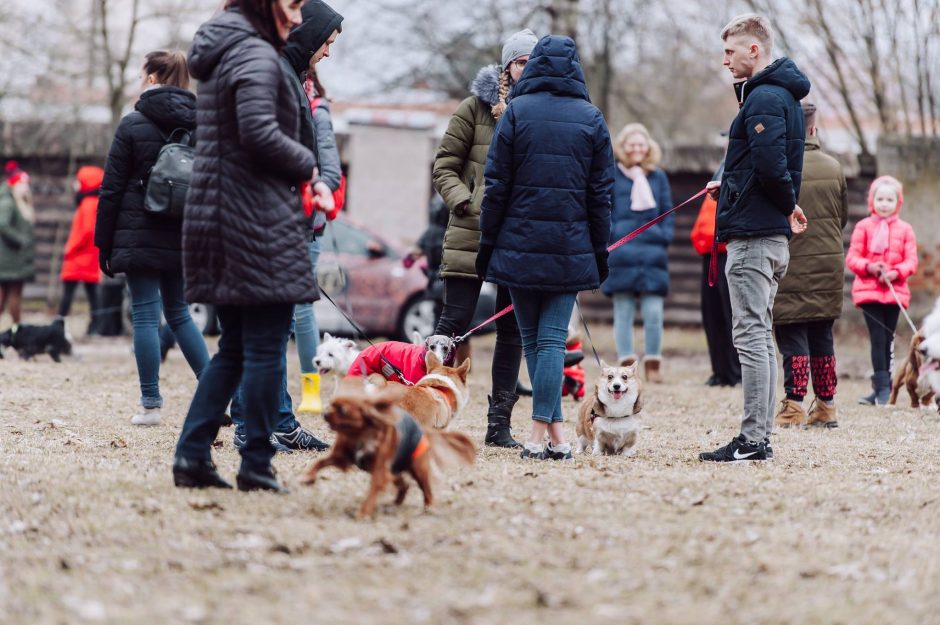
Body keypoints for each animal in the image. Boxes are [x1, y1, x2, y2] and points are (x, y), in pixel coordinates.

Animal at [302, 382, 478, 520]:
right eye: (331, 404)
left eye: (342, 409)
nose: (325, 414)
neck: (361, 434)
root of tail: (421, 429)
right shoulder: (341, 456)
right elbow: (320, 462)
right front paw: (308, 478)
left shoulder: (380, 469)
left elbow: (374, 489)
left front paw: (363, 512)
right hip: (395, 469)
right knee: (404, 484)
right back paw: (395, 503)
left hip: (417, 468)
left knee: (425, 488)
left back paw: (429, 507)